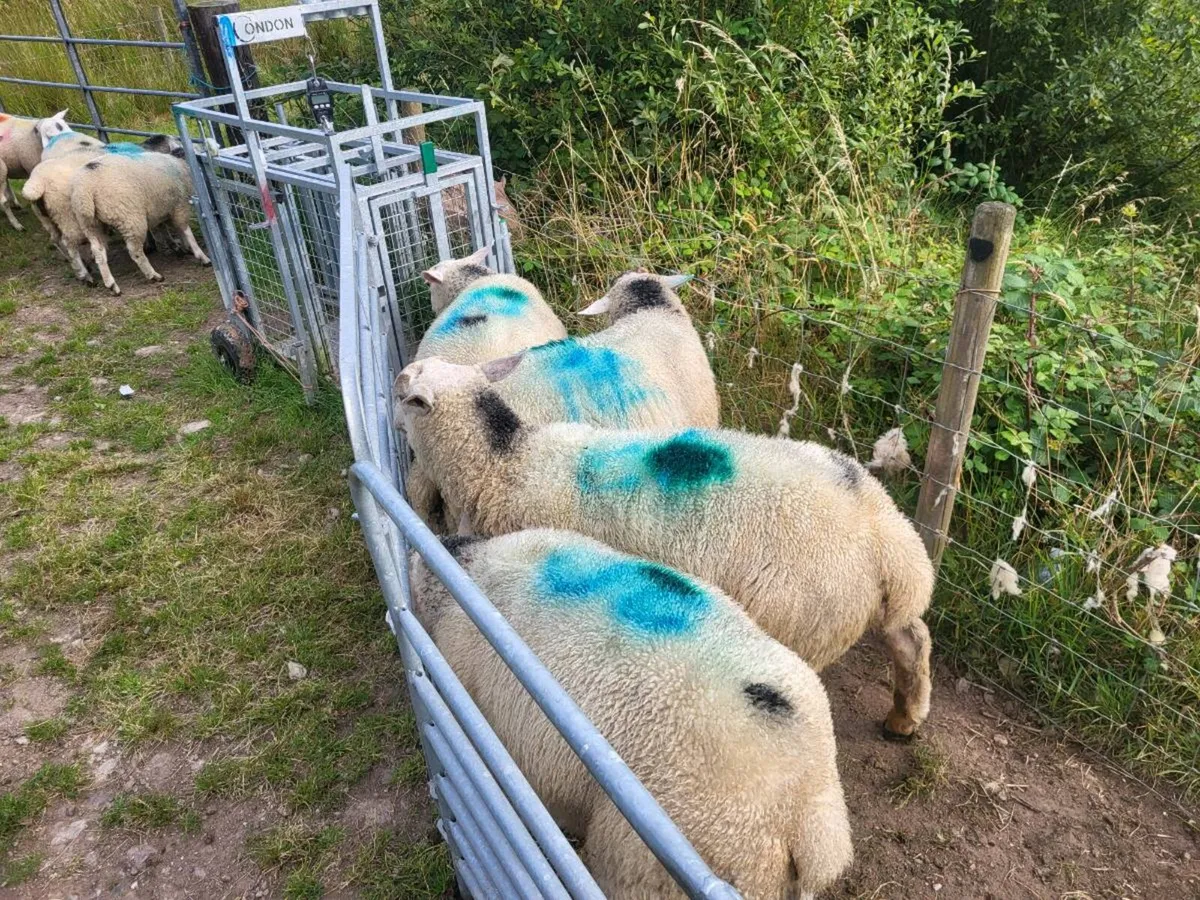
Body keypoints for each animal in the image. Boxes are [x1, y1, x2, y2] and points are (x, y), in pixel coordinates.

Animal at [67, 134, 210, 295]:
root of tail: (85, 188)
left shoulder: (163, 208)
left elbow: (169, 230)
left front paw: (182, 247)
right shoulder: (180, 205)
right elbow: (185, 230)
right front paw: (201, 256)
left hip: (90, 223)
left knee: (98, 251)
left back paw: (112, 285)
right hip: (129, 218)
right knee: (134, 250)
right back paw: (153, 275)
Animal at [395, 357, 936, 739]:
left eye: (404, 396)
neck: (502, 462)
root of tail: (888, 537)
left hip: (805, 624)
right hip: (873, 605)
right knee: (912, 639)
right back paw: (905, 720)